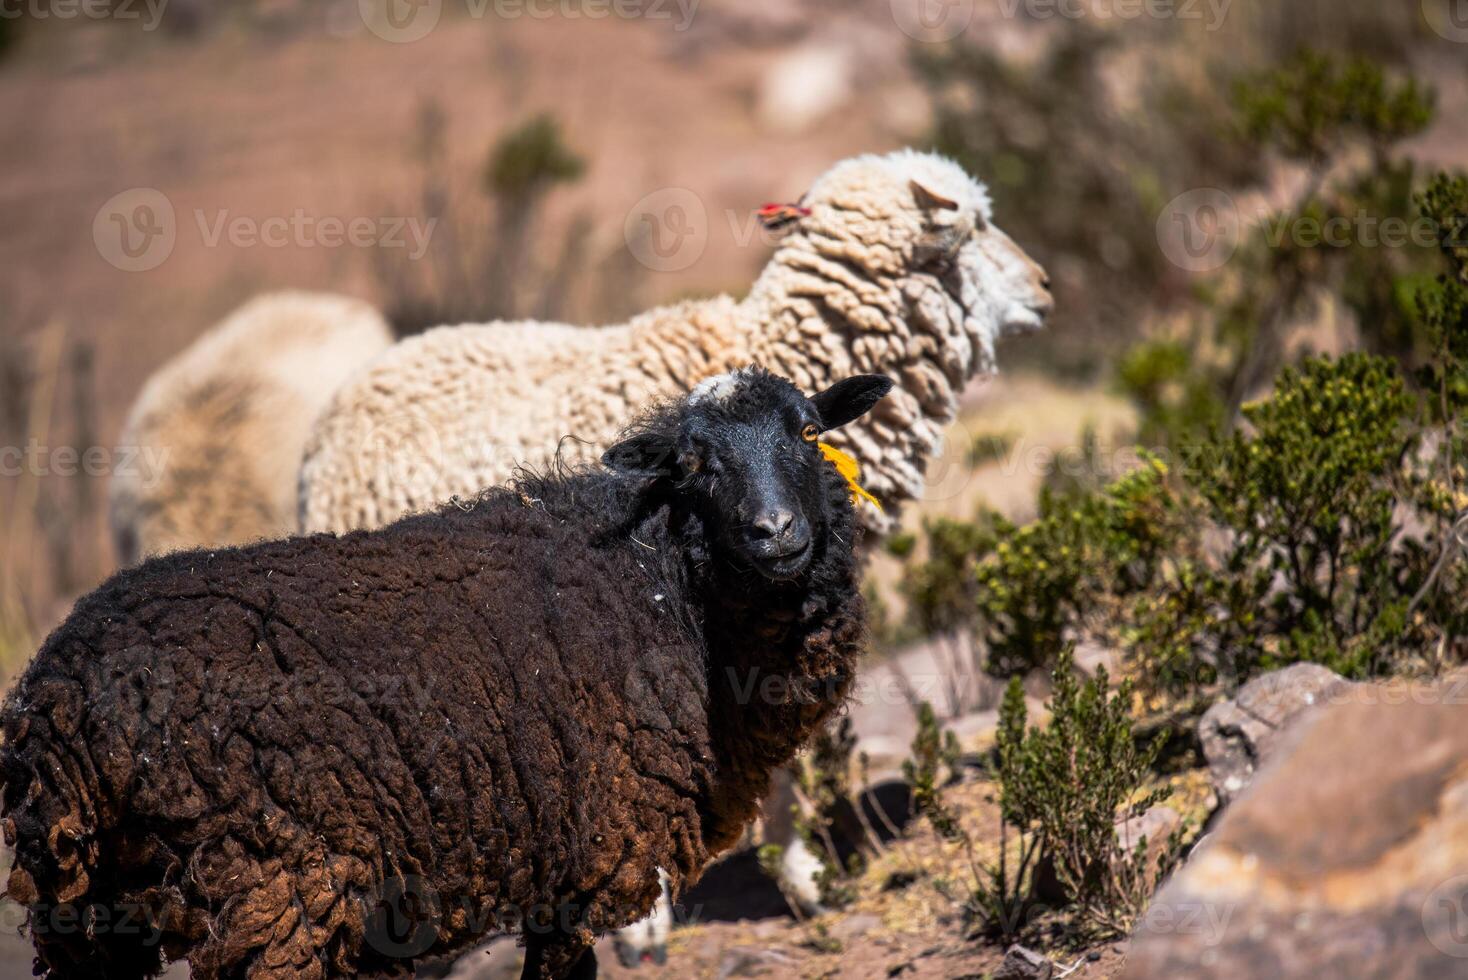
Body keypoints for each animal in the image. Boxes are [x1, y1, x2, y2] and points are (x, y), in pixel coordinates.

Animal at [0, 366, 892, 979]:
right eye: (695, 463)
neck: (660, 581)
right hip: (267, 891)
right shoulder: (588, 847)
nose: (775, 532)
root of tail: (61, 697)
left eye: (808, 432)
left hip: (86, 912)